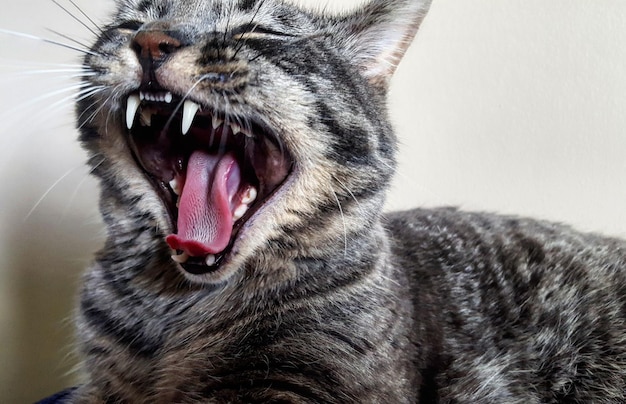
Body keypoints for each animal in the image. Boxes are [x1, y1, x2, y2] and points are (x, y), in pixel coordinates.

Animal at [39, 0, 624, 402]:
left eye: (257, 31)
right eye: (130, 23)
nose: (152, 42)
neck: (170, 306)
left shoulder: (307, 379)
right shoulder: (98, 382)